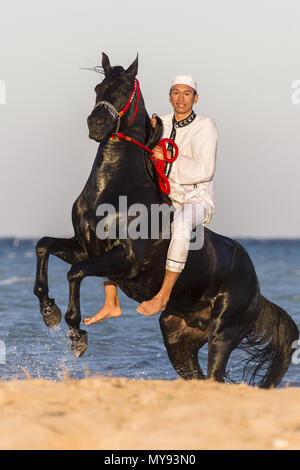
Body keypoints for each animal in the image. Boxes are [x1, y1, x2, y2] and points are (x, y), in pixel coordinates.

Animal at [34, 53, 298, 388]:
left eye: (124, 90)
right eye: (98, 88)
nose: (96, 124)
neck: (114, 190)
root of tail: (258, 290)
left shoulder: (126, 260)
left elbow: (75, 273)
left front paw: (76, 333)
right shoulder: (86, 248)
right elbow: (44, 246)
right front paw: (48, 311)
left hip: (222, 335)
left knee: (215, 375)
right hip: (178, 340)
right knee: (200, 378)